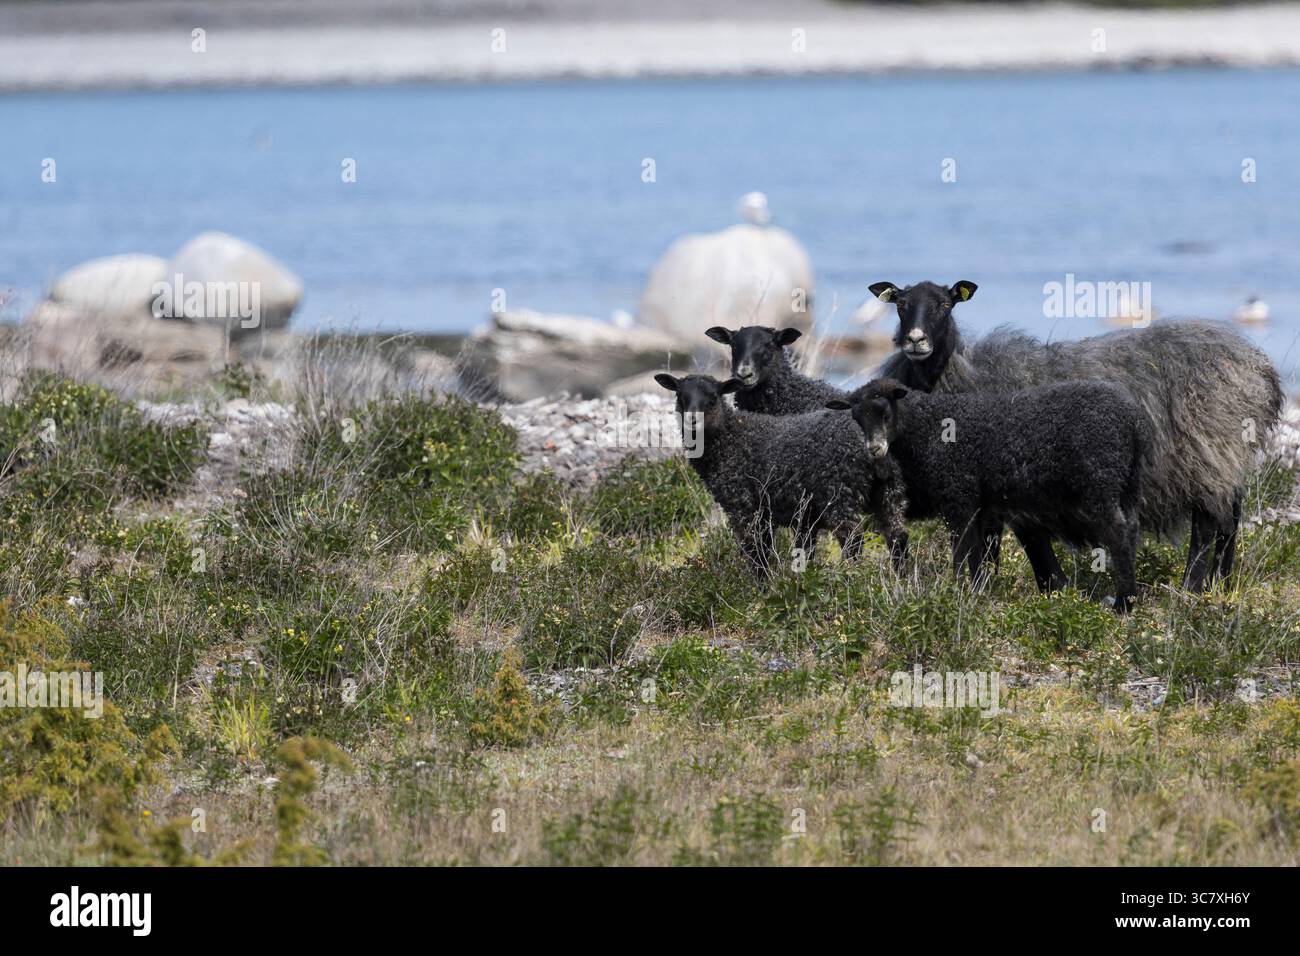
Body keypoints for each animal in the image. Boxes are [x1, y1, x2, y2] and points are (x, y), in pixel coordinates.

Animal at [653, 373, 905, 570]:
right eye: (680, 396)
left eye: (713, 397)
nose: (692, 421)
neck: (729, 436)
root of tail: (874, 448)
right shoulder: (779, 516)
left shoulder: (743, 506)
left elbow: (757, 555)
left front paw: (761, 592)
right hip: (889, 492)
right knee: (898, 536)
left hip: (840, 496)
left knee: (854, 541)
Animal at [827, 377, 1150, 611]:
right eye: (857, 418)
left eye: (884, 413)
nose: (874, 449)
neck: (927, 427)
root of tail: (1132, 419)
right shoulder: (981, 505)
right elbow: (978, 553)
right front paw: (979, 589)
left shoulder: (958, 496)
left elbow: (963, 551)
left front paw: (961, 592)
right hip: (1127, 482)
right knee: (1132, 528)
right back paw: (1129, 597)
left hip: (1100, 481)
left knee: (1117, 533)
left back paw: (1123, 604)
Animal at [870, 279, 1284, 592]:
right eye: (901, 305)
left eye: (944, 305)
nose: (915, 341)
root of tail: (1260, 368)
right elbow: (994, 547)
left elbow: (1027, 544)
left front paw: (1053, 590)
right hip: (1226, 458)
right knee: (1230, 521)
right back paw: (1221, 585)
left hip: (1206, 454)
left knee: (1208, 523)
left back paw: (1190, 587)